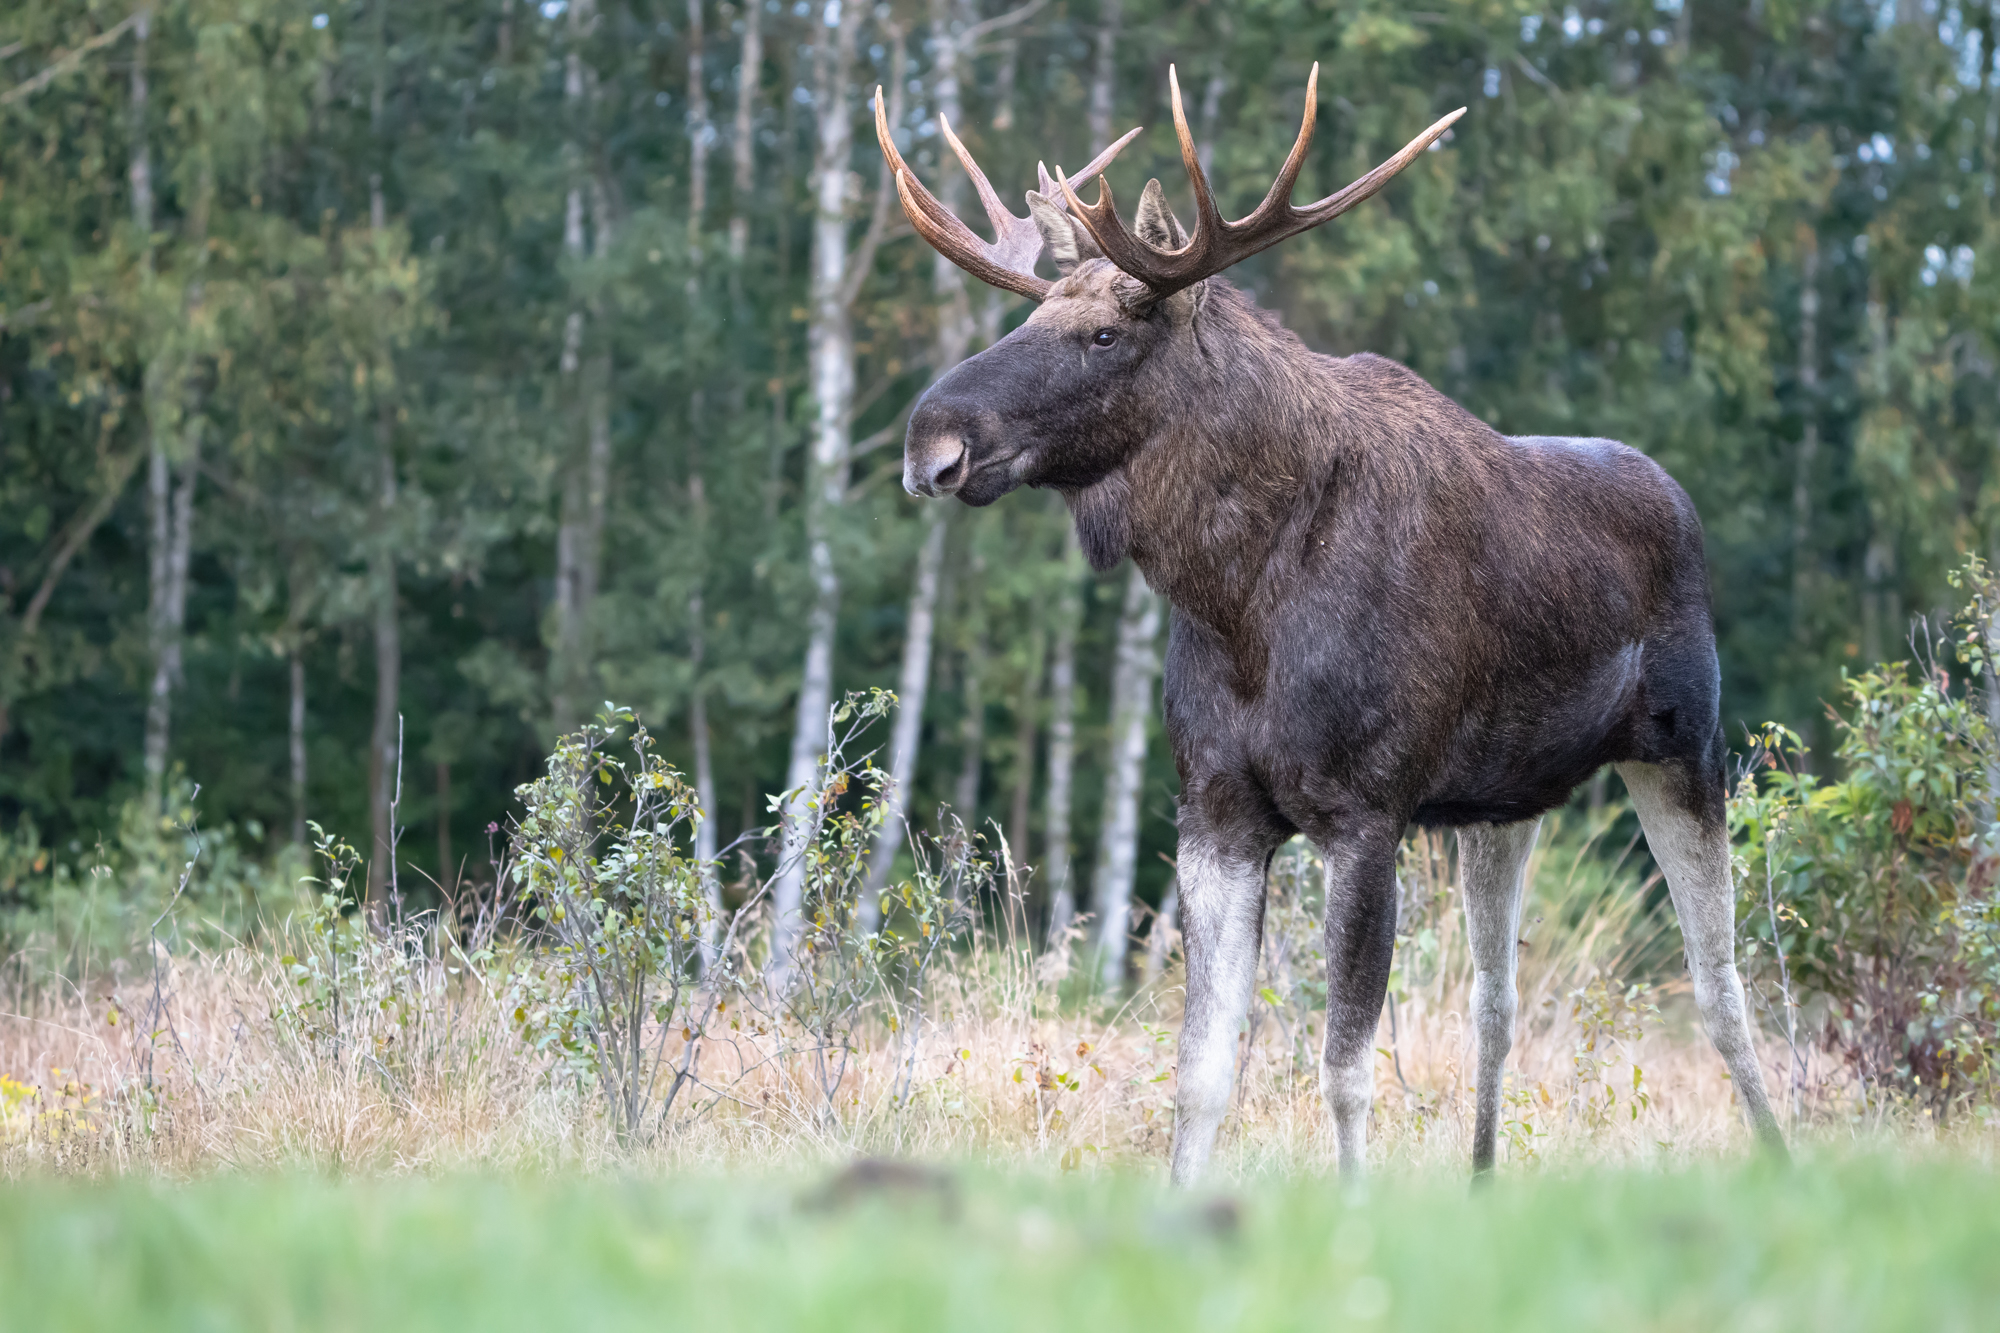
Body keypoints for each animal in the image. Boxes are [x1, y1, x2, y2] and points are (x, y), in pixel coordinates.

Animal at [874, 66, 1786, 1183]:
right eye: (1032, 315)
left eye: (1102, 333)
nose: (930, 441)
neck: (1236, 598)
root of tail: (1677, 496)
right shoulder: (1214, 812)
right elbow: (1200, 1069)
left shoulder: (1365, 812)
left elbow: (1342, 1067)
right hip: (1505, 802)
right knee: (1495, 1001)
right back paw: (1482, 1180)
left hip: (1685, 747)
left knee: (1720, 984)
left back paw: (1781, 1155)